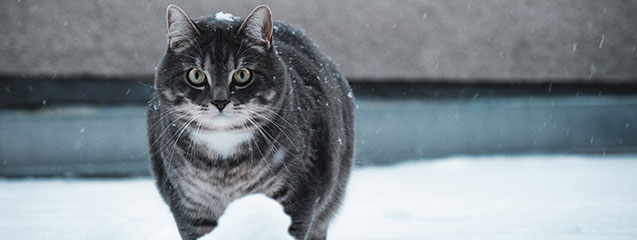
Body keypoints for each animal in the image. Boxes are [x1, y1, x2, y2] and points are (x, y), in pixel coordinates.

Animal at [147, 4, 356, 240]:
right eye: (196, 75)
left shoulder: (298, 195)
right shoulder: (188, 204)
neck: (224, 159)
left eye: (242, 75)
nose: (220, 101)